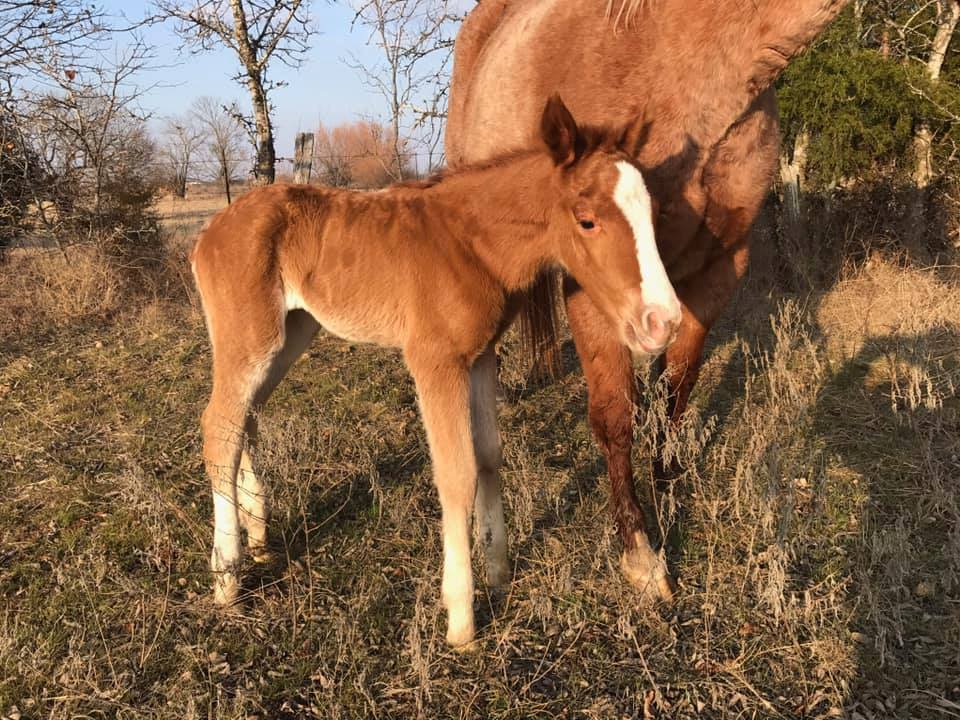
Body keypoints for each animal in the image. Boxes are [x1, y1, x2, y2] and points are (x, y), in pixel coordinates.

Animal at [191, 96, 681, 647]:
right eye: (587, 220)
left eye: (653, 214)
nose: (663, 321)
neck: (470, 243)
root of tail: (210, 229)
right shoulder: (434, 361)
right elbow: (456, 473)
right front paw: (461, 618)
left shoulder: (482, 355)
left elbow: (488, 456)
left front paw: (499, 572)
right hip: (248, 340)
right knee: (219, 427)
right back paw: (227, 577)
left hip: (291, 333)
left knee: (245, 419)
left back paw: (257, 537)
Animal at [445, 0, 849, 598]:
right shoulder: (592, 289)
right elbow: (616, 415)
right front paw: (639, 551)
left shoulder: (714, 273)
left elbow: (675, 396)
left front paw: (670, 493)